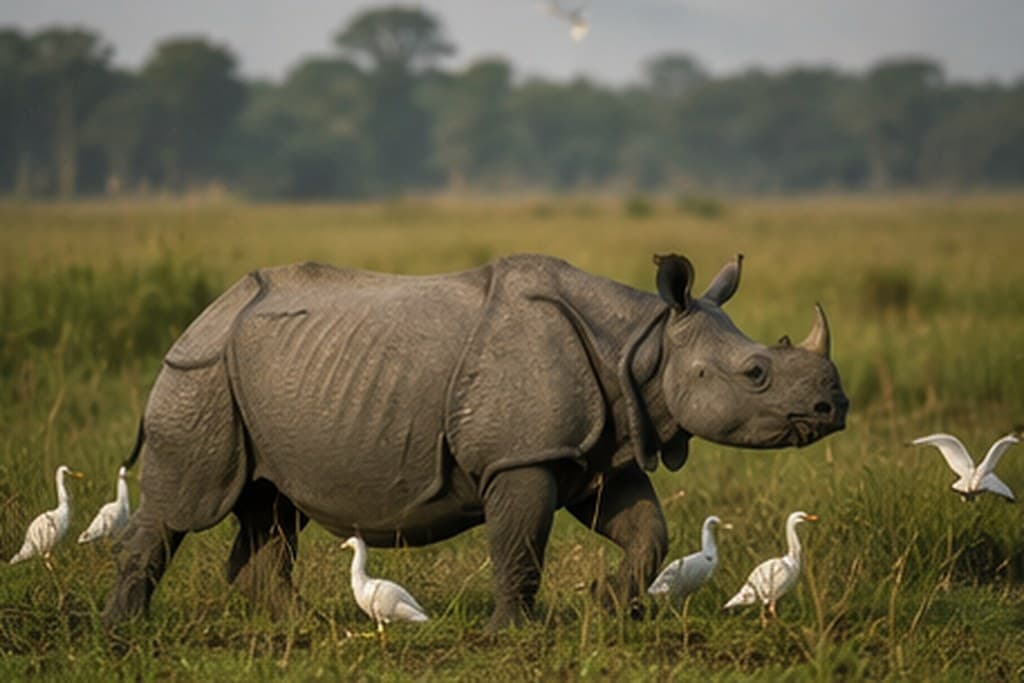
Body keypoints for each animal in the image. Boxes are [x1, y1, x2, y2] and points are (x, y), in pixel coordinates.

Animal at [102, 252, 847, 630]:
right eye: (756, 373)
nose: (834, 408)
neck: (643, 341)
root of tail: (204, 314)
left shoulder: (598, 448)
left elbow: (647, 532)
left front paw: (608, 606)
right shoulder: (522, 456)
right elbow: (520, 544)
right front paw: (518, 633)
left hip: (258, 378)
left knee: (270, 506)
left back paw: (303, 628)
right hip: (199, 374)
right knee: (182, 507)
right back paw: (125, 634)